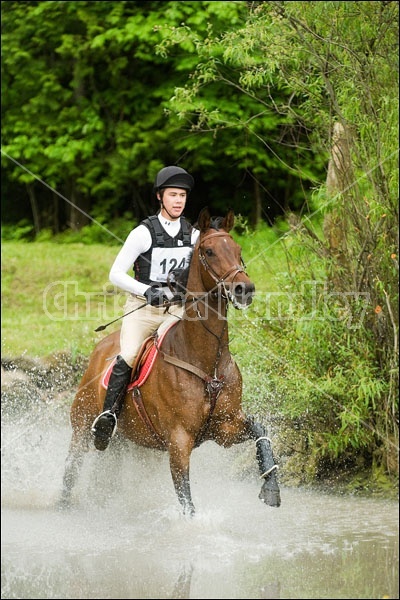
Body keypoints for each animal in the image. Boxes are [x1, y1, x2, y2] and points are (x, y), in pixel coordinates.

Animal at [60, 207, 282, 516]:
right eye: (209, 251)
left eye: (238, 250)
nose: (244, 289)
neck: (206, 361)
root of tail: (99, 350)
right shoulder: (178, 441)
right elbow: (185, 497)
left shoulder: (226, 428)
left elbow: (261, 432)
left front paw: (271, 490)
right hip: (81, 427)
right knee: (71, 470)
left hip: (122, 442)